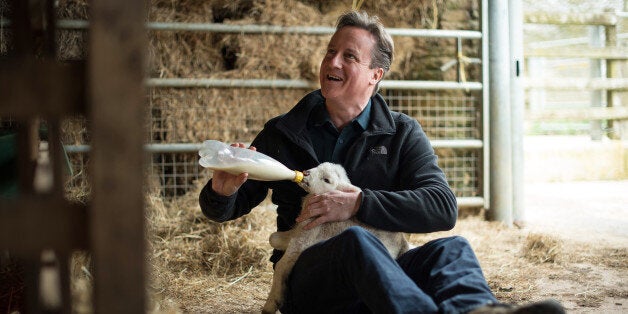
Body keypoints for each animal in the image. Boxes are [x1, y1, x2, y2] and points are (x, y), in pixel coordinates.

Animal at [260, 162, 408, 314]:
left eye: (327, 180)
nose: (306, 173)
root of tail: (402, 243)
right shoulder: (300, 230)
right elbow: (273, 238)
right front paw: (280, 242)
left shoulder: (304, 238)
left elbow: (281, 265)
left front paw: (271, 304)